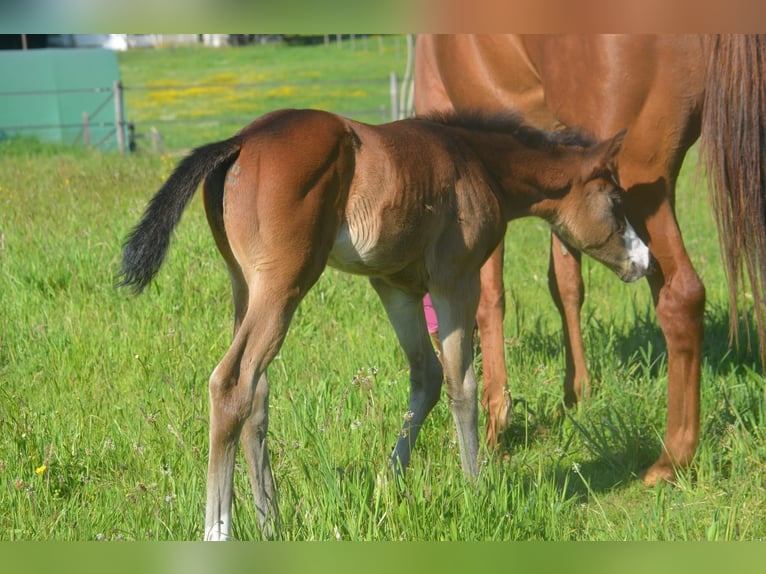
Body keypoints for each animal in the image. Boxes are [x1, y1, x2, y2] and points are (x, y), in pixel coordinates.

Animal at [119, 107, 649, 540]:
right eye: (615, 199)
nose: (642, 260)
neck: (475, 161)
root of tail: (242, 140)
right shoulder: (455, 279)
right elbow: (462, 383)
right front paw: (475, 489)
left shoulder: (396, 287)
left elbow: (427, 378)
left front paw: (386, 486)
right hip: (283, 285)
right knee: (232, 384)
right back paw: (219, 532)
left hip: (243, 286)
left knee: (257, 393)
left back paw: (272, 524)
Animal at [414, 34, 766, 485]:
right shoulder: (565, 177)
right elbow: (565, 283)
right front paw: (576, 393)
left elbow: (490, 296)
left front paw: (495, 422)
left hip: (640, 178)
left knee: (681, 296)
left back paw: (672, 457)